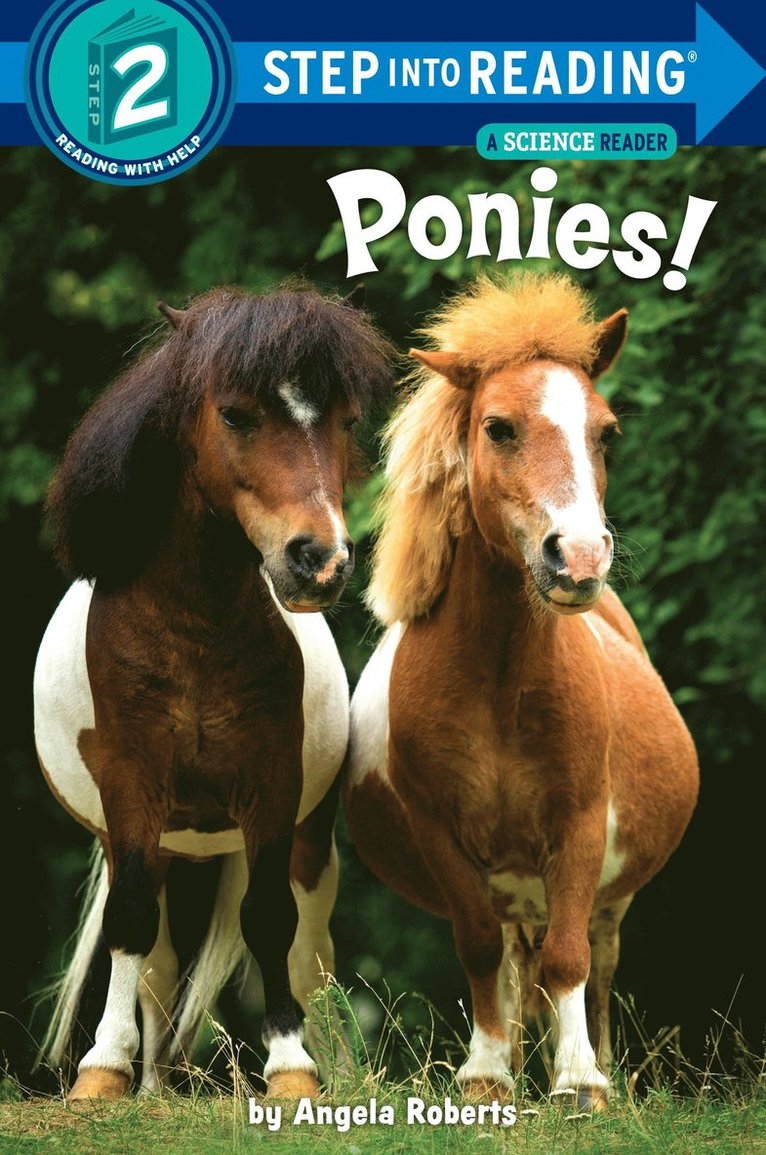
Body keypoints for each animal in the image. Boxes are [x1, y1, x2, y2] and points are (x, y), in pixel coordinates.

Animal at [33, 282, 392, 1101]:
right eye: (235, 414)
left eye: (346, 420)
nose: (320, 560)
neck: (193, 628)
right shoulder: (131, 788)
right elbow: (132, 927)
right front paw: (102, 1072)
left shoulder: (272, 785)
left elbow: (269, 922)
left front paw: (292, 1070)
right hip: (154, 841)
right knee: (156, 961)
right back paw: (151, 1084)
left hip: (306, 840)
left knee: (310, 954)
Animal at [345, 273, 699, 1111]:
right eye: (499, 427)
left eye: (606, 433)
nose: (580, 557)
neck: (498, 679)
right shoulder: (442, 836)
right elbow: (478, 949)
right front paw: (486, 1076)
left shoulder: (578, 828)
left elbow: (568, 958)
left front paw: (580, 1082)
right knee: (508, 961)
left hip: (607, 894)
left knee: (594, 963)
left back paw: (603, 1068)